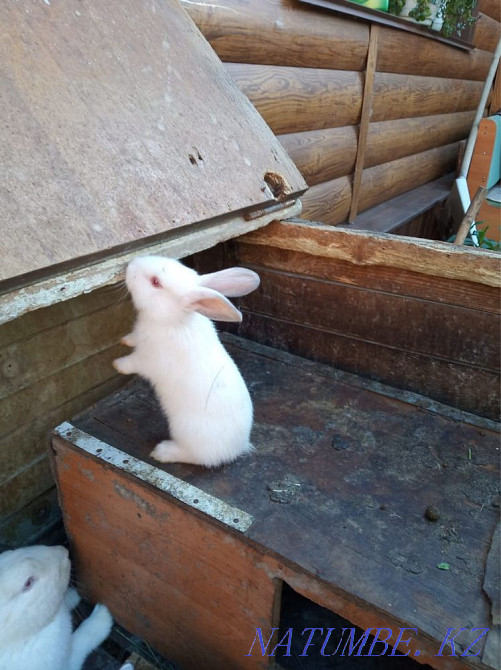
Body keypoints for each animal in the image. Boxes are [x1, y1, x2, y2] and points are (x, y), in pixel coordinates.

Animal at [113, 255, 260, 467]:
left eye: (155, 282)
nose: (131, 263)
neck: (171, 319)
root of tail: (238, 448)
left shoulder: (148, 360)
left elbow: (132, 363)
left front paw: (117, 364)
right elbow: (133, 338)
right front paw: (124, 340)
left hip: (184, 431)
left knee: (196, 457)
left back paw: (163, 452)